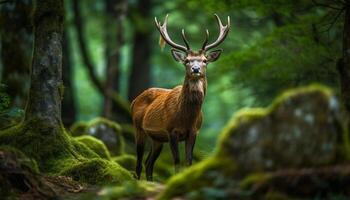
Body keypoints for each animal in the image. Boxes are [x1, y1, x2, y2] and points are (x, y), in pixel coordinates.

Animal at [131, 13, 230, 180]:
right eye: (187, 61)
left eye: (204, 60)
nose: (195, 69)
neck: (186, 118)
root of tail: (133, 101)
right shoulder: (171, 131)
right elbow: (177, 162)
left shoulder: (194, 131)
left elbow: (188, 162)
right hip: (138, 128)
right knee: (138, 163)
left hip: (157, 139)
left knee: (148, 163)